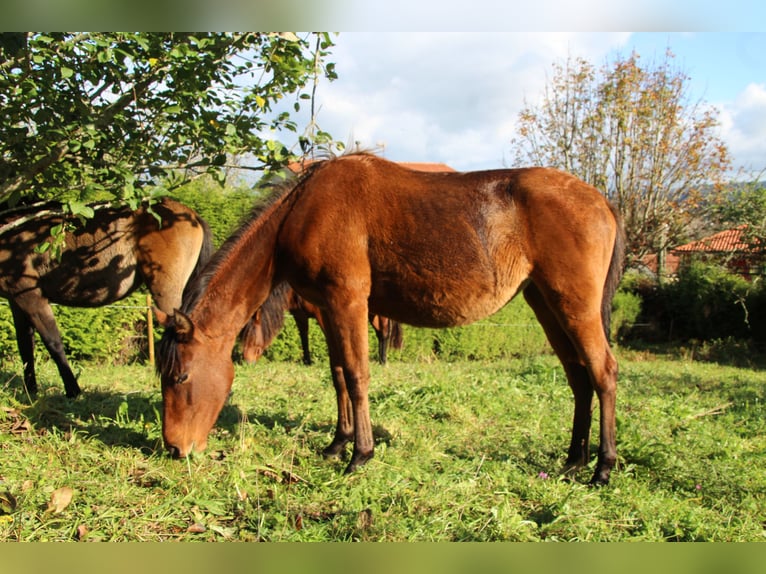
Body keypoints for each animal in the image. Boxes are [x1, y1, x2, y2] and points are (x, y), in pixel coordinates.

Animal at [0, 197, 213, 396]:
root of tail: (190, 215)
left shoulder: (31, 297)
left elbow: (53, 343)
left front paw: (73, 391)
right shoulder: (16, 301)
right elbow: (25, 345)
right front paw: (31, 391)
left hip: (167, 294)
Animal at [243, 284, 404, 364]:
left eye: (251, 333)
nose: (246, 361)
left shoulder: (322, 313)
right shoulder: (300, 315)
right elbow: (304, 336)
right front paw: (307, 361)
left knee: (384, 333)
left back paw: (383, 361)